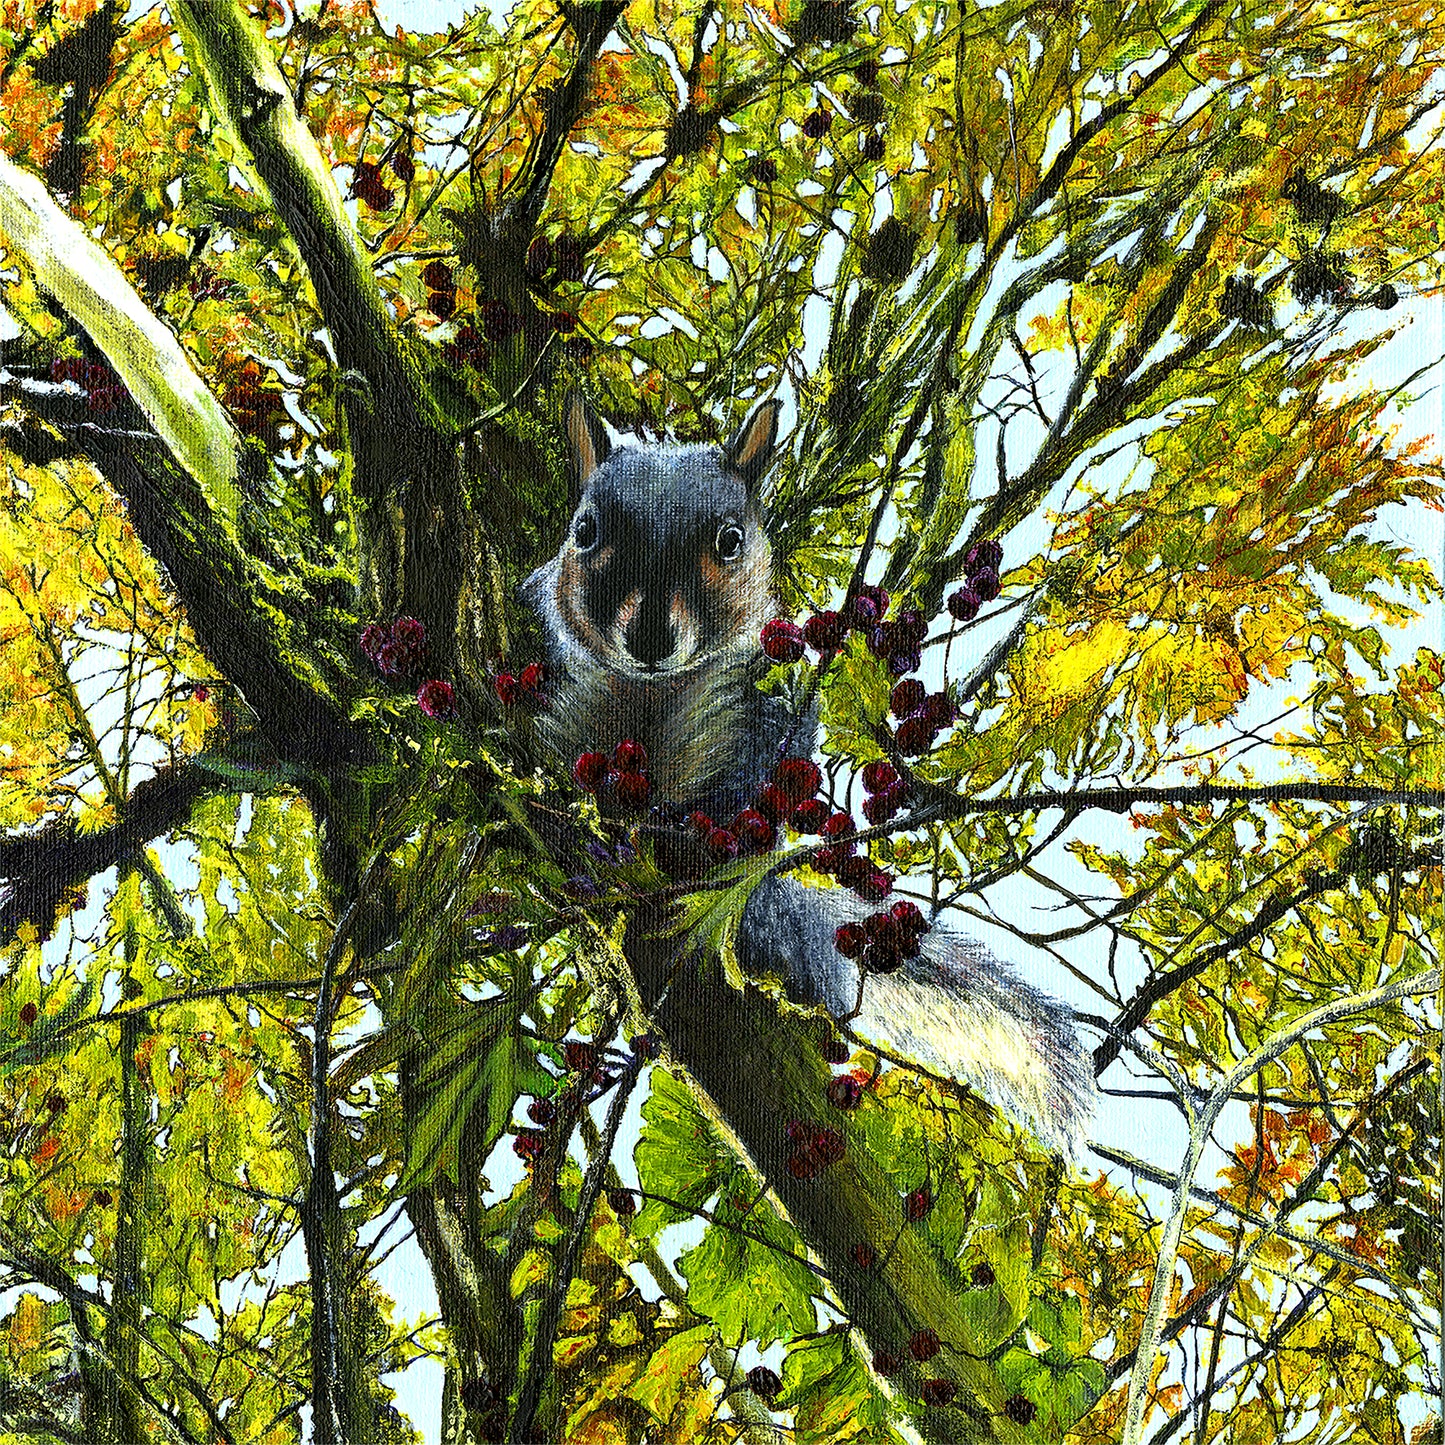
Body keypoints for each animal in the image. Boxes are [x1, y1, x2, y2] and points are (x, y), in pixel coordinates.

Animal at [523, 393, 1096, 1154]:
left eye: (730, 540)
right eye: (583, 532)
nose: (648, 638)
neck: (651, 693)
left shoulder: (767, 705)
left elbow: (752, 786)